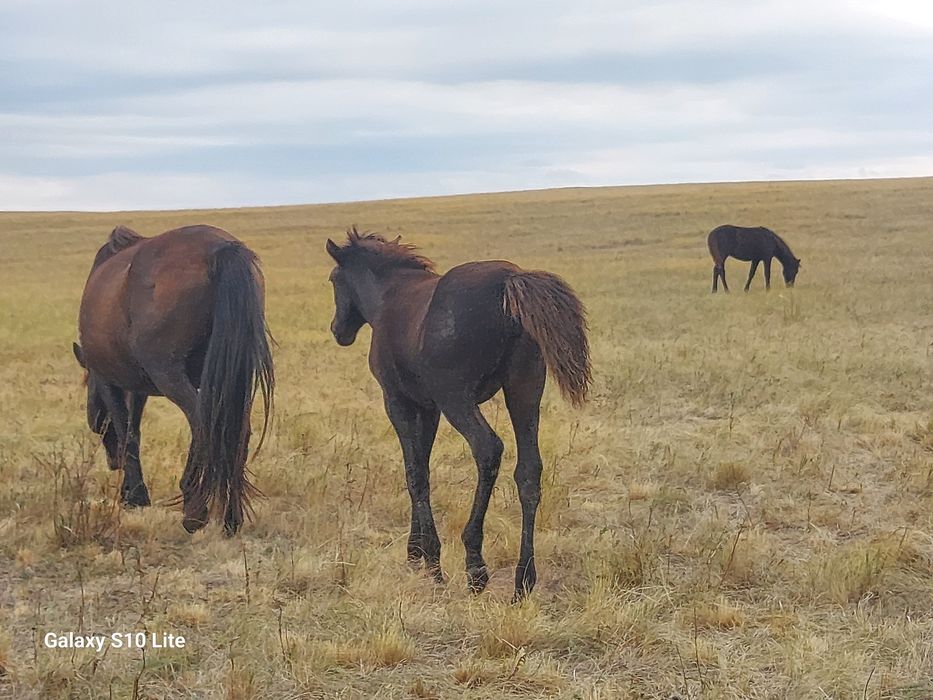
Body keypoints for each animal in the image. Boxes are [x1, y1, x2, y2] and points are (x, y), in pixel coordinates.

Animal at [73, 224, 274, 535]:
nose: (112, 463)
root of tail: (221, 250)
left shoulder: (110, 381)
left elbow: (126, 431)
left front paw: (135, 496)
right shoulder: (139, 387)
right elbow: (135, 429)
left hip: (169, 374)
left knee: (204, 424)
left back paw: (194, 510)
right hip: (233, 377)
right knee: (235, 431)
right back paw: (231, 518)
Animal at [326, 228, 591, 602]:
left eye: (334, 279)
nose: (338, 331)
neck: (391, 296)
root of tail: (509, 280)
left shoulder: (399, 403)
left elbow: (414, 473)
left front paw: (431, 562)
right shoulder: (429, 408)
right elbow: (422, 466)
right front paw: (416, 552)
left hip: (459, 400)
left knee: (488, 449)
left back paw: (475, 565)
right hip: (524, 393)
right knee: (529, 471)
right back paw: (523, 580)